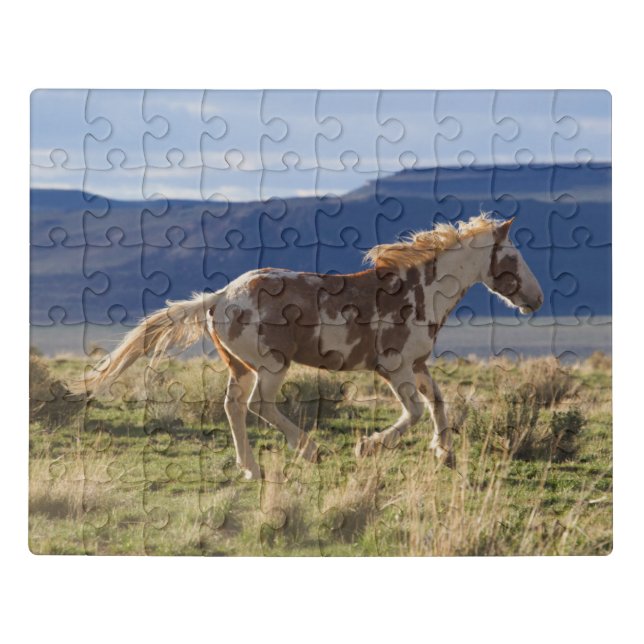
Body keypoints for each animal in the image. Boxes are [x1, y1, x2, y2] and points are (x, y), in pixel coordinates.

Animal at [74, 214, 543, 480]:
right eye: (514, 258)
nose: (536, 299)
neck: (419, 292)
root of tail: (219, 297)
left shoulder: (417, 365)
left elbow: (438, 403)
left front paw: (443, 453)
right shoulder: (393, 367)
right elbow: (411, 412)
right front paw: (367, 446)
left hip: (240, 367)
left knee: (233, 406)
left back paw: (251, 468)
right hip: (271, 365)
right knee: (259, 406)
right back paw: (310, 449)